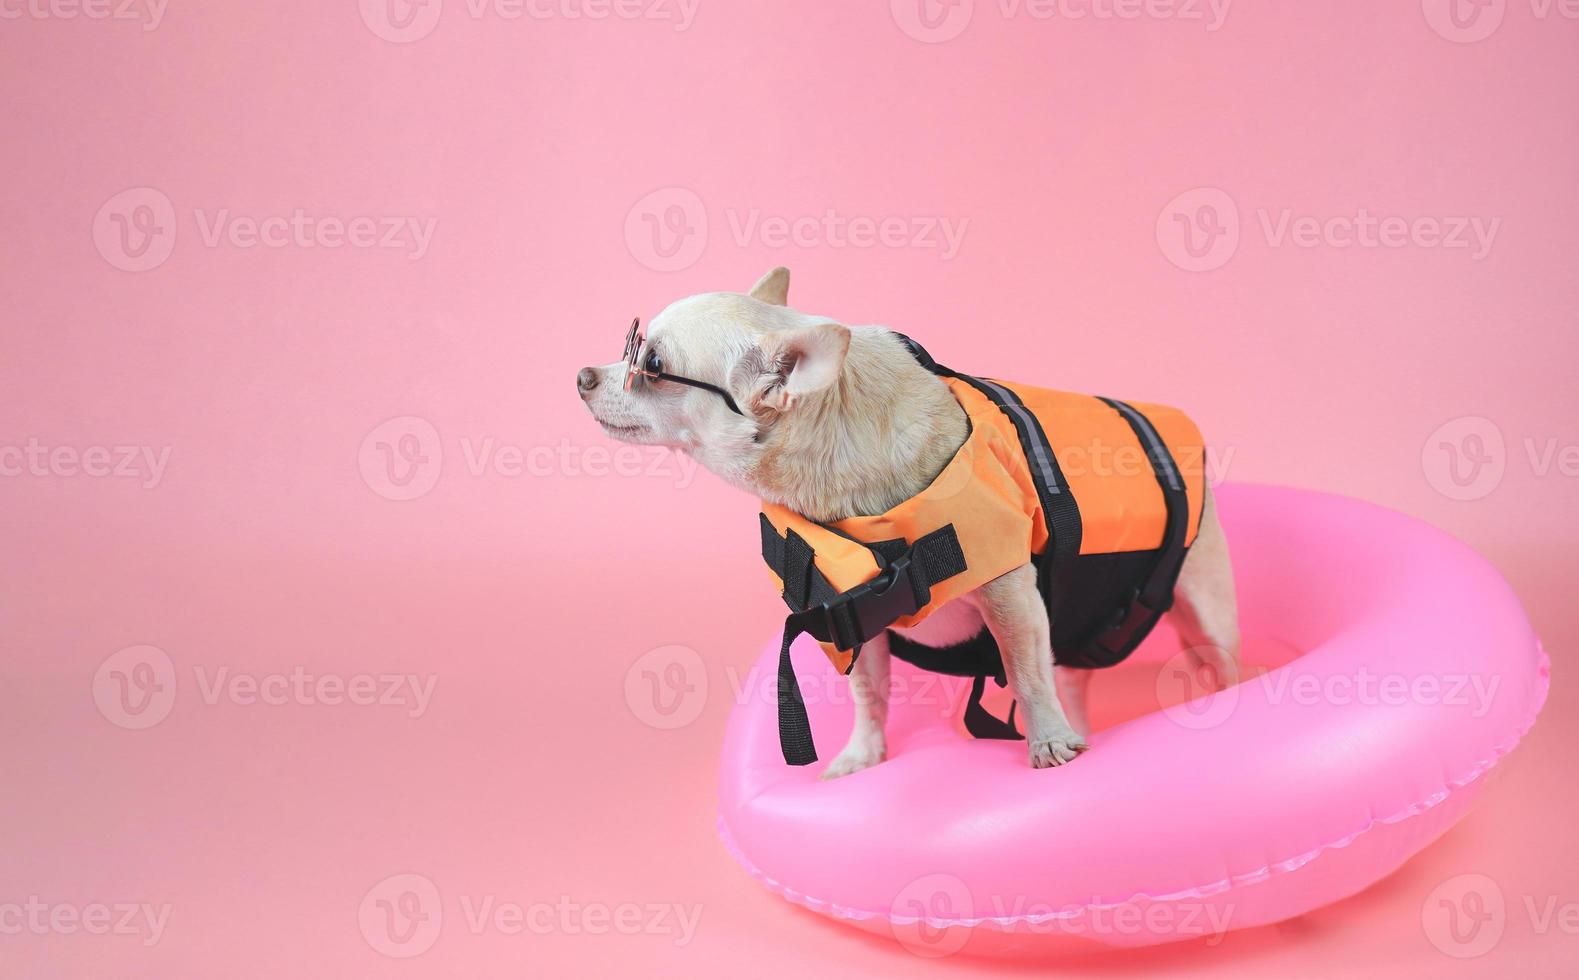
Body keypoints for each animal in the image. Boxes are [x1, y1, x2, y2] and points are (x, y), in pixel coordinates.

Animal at [577, 268, 1231, 779]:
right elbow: (869, 694)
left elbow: (1024, 671)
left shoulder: (1010, 592)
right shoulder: (851, 622)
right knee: (1069, 676)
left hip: (1205, 612)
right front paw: (864, 754)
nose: (583, 376)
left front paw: (1045, 739)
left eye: (652, 363)